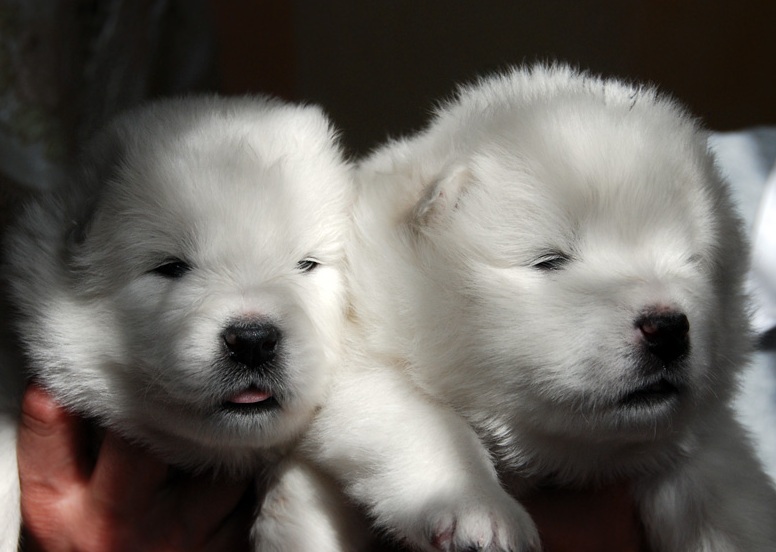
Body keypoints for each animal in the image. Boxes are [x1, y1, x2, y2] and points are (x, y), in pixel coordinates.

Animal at [346, 66, 776, 552]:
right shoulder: (353, 357)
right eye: (550, 260)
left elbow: (722, 478)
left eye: (693, 262)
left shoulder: (704, 438)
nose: (667, 328)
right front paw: (479, 510)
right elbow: (423, 420)